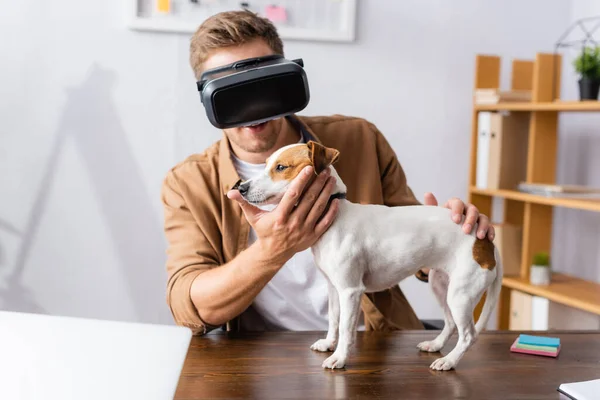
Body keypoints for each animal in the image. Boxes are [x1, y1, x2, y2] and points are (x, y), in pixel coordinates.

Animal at [234, 141, 502, 372]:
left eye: (281, 167)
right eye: (266, 164)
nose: (241, 187)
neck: (334, 217)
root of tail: (485, 240)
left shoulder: (350, 291)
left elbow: (345, 328)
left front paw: (339, 357)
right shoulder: (334, 289)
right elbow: (333, 320)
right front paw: (328, 344)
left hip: (460, 295)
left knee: (468, 335)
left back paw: (449, 361)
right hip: (441, 286)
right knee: (450, 323)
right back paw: (436, 346)